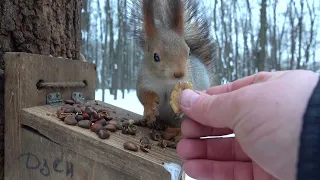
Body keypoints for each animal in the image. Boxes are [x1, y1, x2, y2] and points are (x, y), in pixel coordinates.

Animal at [126, 0, 219, 141]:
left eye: (188, 52)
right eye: (156, 56)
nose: (179, 74)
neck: (165, 82)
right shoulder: (144, 81)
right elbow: (143, 95)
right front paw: (151, 108)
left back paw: (175, 132)